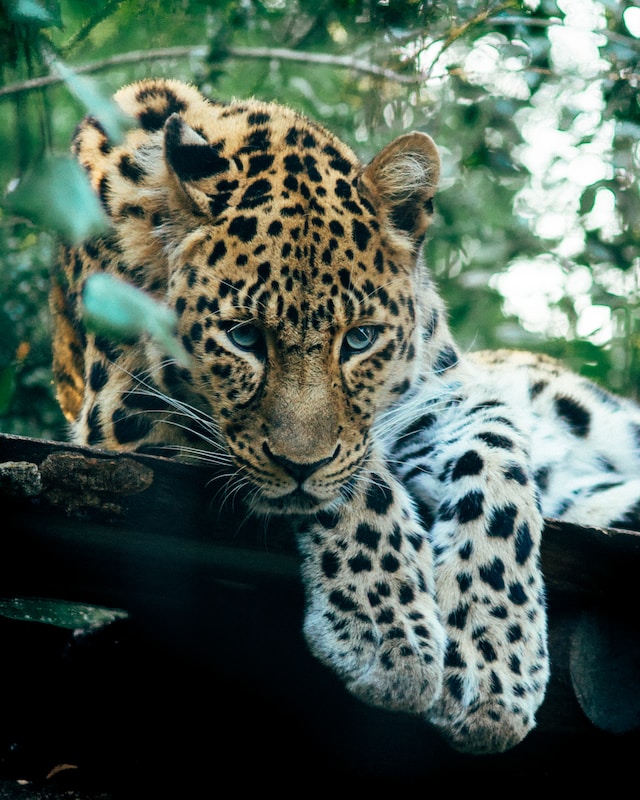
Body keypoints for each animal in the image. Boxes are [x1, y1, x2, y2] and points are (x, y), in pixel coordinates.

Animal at [48, 79, 640, 756]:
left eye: (359, 339)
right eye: (243, 337)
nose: (299, 465)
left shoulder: (443, 394)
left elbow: (498, 477)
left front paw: (494, 664)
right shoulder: (124, 413)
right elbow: (360, 481)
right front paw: (392, 642)